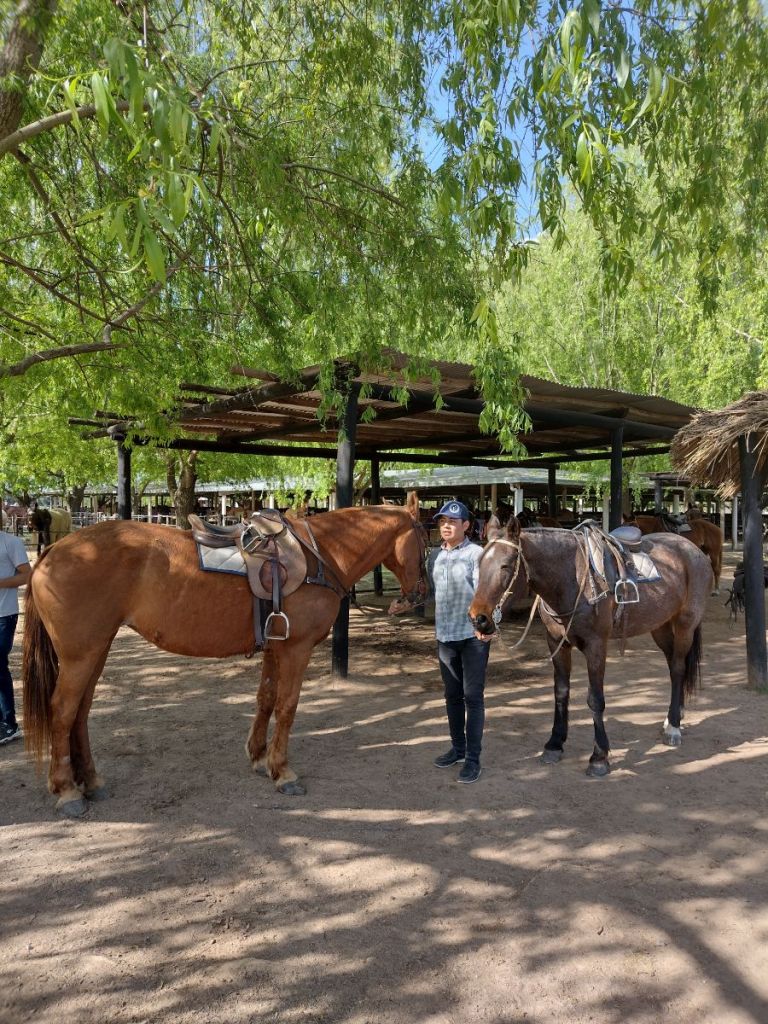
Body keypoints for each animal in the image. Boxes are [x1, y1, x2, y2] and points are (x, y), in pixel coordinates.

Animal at [22, 497, 427, 817]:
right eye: (424, 540)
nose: (420, 594)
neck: (322, 554)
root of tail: (52, 552)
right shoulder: (296, 649)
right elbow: (287, 706)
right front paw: (283, 772)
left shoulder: (276, 647)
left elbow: (266, 699)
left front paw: (260, 758)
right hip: (80, 654)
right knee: (63, 711)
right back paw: (68, 791)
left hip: (96, 649)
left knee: (81, 712)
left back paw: (90, 781)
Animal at [469, 516, 713, 777]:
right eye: (480, 563)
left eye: (505, 566)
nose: (478, 618)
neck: (571, 579)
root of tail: (692, 549)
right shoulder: (556, 643)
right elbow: (560, 693)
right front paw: (554, 744)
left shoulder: (596, 646)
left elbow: (595, 699)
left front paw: (599, 757)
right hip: (660, 625)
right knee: (672, 665)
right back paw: (673, 717)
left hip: (685, 624)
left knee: (678, 668)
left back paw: (673, 727)